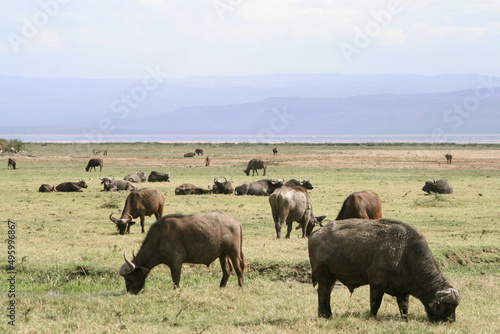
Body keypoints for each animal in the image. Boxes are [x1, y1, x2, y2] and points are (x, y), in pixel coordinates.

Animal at [308, 218, 460, 322]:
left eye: (455, 307)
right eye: (443, 307)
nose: (451, 321)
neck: (404, 252)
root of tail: (315, 234)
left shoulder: (403, 289)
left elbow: (404, 306)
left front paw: (405, 319)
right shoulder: (377, 284)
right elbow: (375, 303)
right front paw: (372, 316)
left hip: (332, 277)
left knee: (327, 293)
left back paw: (326, 314)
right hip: (323, 275)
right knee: (323, 293)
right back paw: (325, 315)